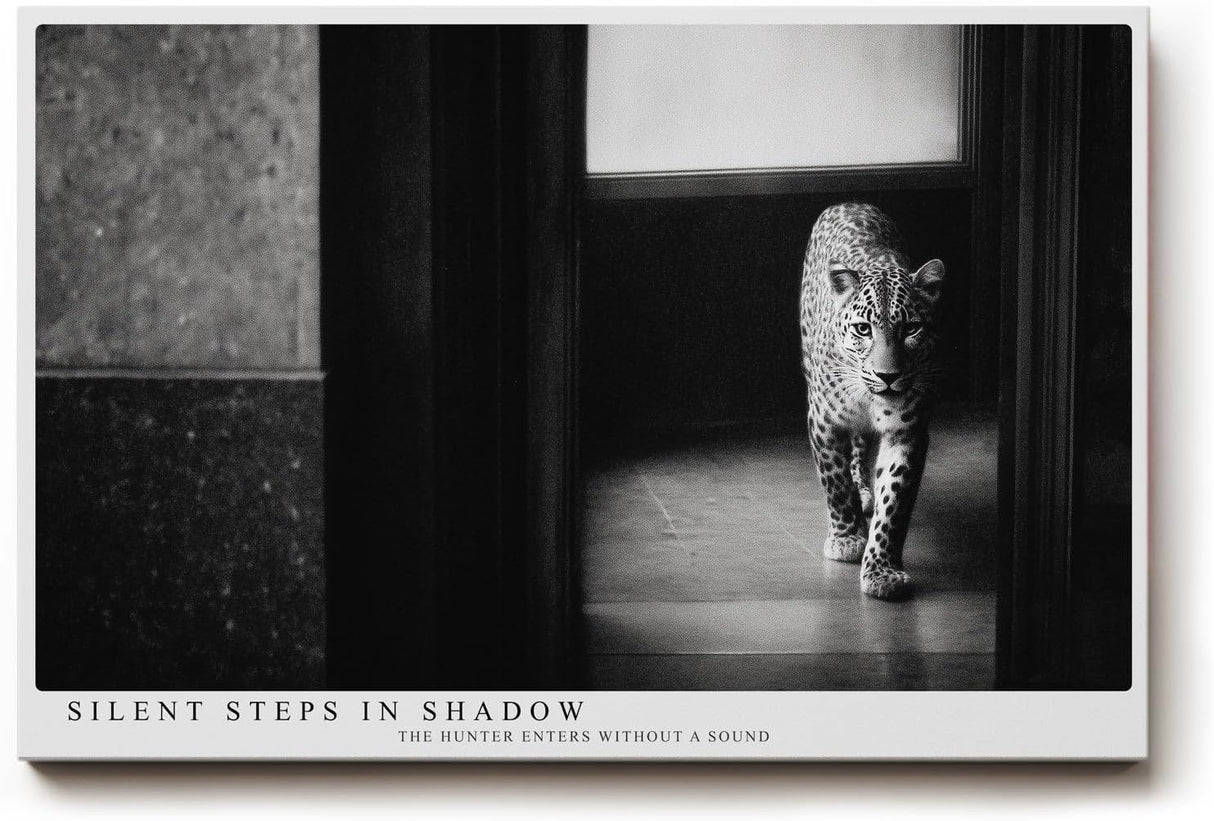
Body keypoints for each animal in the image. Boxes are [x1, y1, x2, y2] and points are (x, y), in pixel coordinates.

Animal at [799, 203, 946, 601]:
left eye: (911, 329)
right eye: (863, 330)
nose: (888, 376)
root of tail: (850, 203)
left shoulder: (907, 431)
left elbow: (894, 504)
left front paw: (882, 570)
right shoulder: (823, 420)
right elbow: (834, 481)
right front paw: (847, 538)